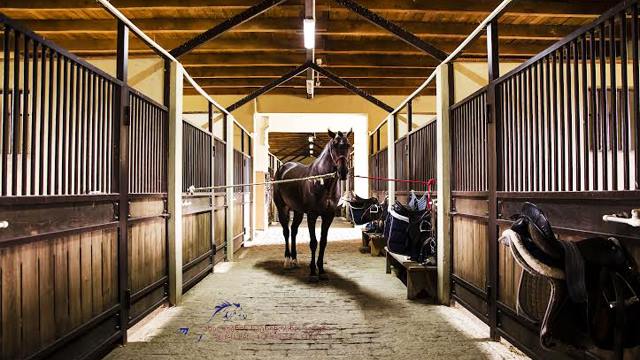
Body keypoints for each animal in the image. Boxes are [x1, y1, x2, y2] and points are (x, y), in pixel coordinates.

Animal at [272, 129, 352, 282]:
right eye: (334, 145)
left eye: (348, 145)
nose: (343, 171)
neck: (321, 181)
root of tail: (283, 167)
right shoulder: (312, 215)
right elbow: (313, 242)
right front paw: (313, 272)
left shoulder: (328, 216)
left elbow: (323, 242)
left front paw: (321, 270)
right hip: (282, 208)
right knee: (286, 231)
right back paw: (287, 261)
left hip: (297, 211)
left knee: (293, 231)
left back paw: (295, 260)